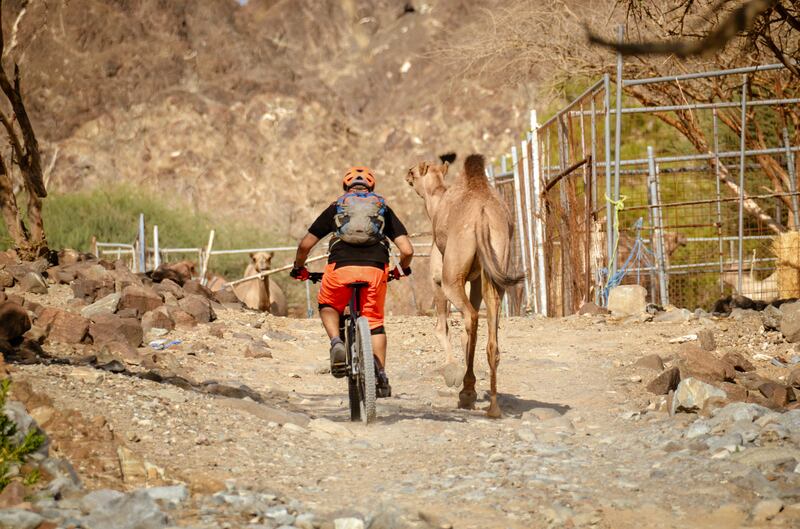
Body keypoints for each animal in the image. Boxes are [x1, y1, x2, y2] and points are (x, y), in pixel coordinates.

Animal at [406, 153, 524, 416]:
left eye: (413, 172)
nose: (407, 175)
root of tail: (483, 215)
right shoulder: (477, 279)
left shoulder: (438, 278)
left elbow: (442, 327)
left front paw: (451, 372)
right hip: (496, 266)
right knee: (490, 331)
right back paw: (492, 407)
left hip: (452, 276)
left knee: (471, 317)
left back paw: (467, 394)